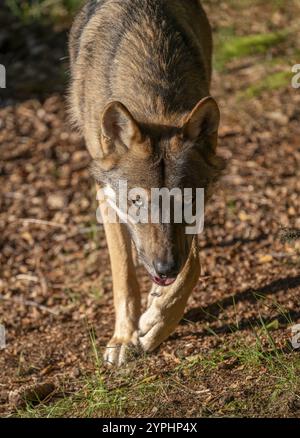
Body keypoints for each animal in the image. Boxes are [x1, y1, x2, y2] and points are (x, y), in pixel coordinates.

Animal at [68, 0, 223, 366]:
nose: (165, 268)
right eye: (136, 201)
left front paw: (156, 323)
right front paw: (124, 337)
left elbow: (192, 266)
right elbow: (124, 275)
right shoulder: (106, 197)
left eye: (186, 200)